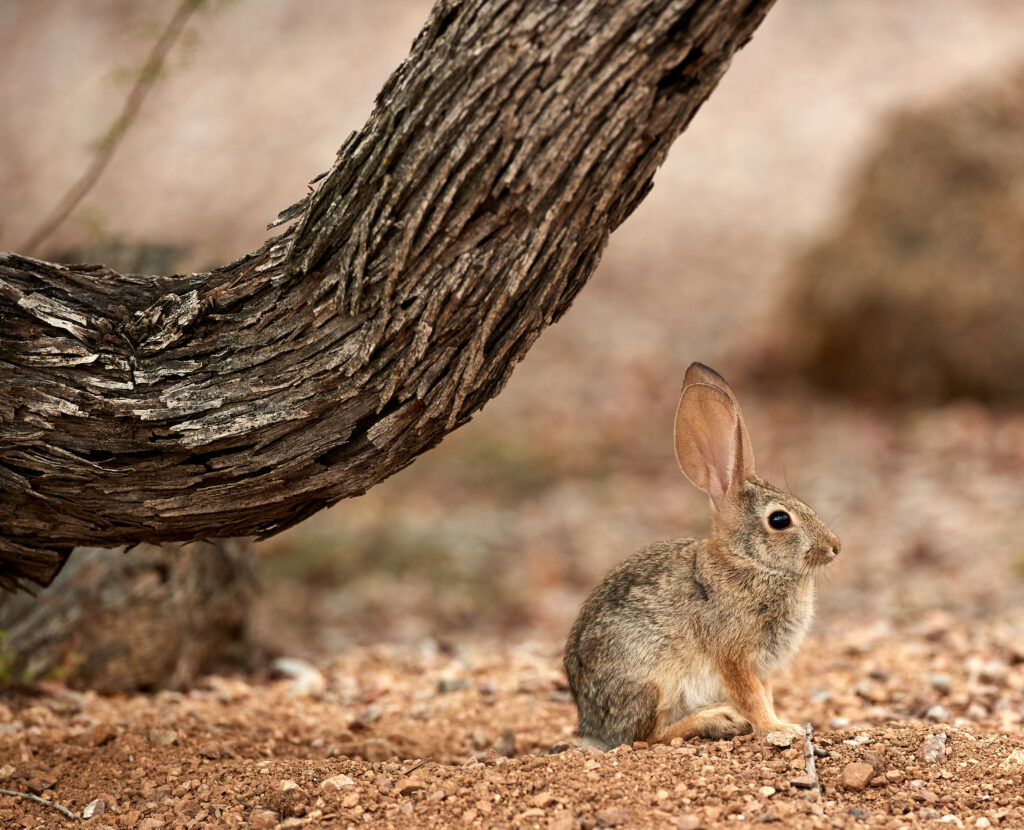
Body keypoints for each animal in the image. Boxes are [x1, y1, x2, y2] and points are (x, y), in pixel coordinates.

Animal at [564, 362, 840, 750]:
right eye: (780, 520)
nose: (835, 546)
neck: (749, 561)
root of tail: (591, 726)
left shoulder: (761, 668)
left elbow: (765, 695)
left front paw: (779, 722)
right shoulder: (733, 657)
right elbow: (751, 697)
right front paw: (780, 730)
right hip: (651, 680)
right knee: (646, 737)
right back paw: (716, 720)